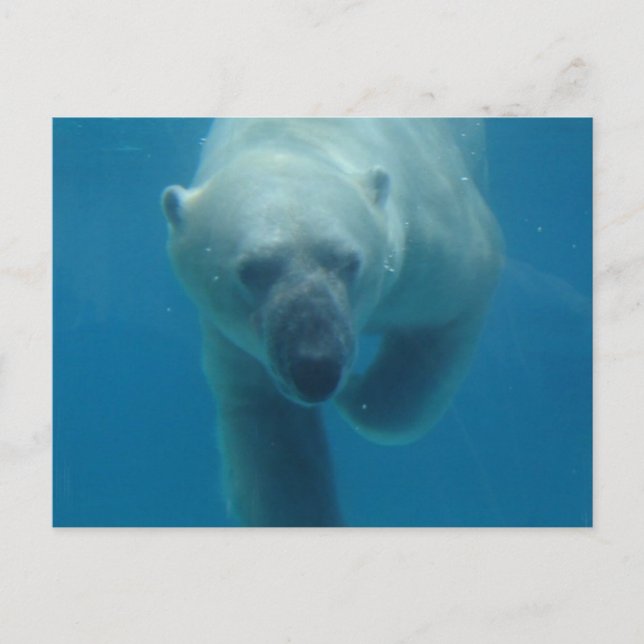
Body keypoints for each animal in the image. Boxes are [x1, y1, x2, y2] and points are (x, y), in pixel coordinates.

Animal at [162, 118, 504, 527]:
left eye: (349, 261)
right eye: (249, 271)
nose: (316, 368)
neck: (301, 135)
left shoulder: (434, 241)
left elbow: (433, 348)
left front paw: (356, 395)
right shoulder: (234, 336)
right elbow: (271, 434)